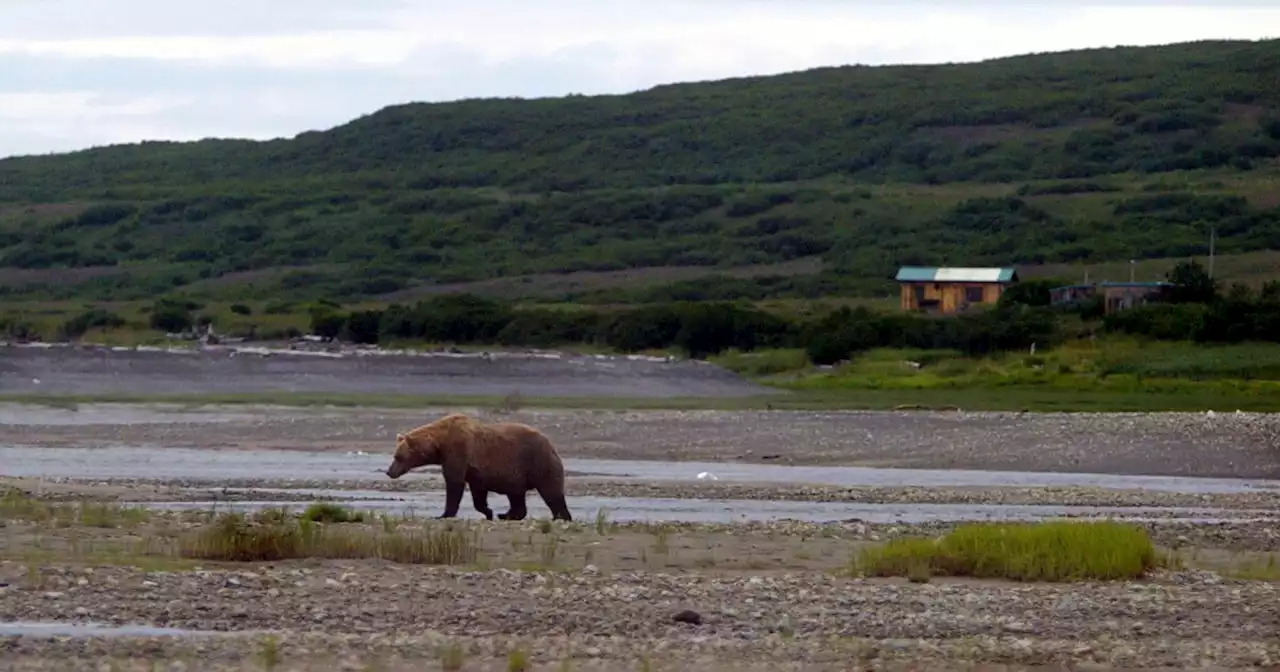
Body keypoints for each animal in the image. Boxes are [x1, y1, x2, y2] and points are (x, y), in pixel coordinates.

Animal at [381, 412, 573, 522]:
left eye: (398, 457)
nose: (389, 471)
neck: (440, 444)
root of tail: (550, 443)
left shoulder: (458, 452)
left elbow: (454, 484)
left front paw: (444, 514)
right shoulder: (476, 470)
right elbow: (478, 493)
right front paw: (489, 512)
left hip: (537, 462)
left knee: (551, 491)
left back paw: (561, 516)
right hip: (516, 474)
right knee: (517, 496)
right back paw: (506, 515)